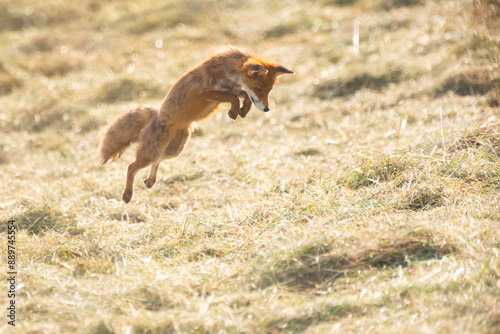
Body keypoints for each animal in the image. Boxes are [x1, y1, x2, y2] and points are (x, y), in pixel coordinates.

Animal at [98, 46, 292, 204]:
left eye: (269, 91)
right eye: (259, 89)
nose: (266, 109)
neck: (227, 71)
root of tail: (156, 113)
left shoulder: (234, 90)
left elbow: (243, 96)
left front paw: (242, 110)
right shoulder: (205, 92)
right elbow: (233, 97)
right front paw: (235, 111)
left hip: (174, 149)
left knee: (157, 161)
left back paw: (149, 181)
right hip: (153, 151)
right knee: (131, 167)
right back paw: (127, 194)